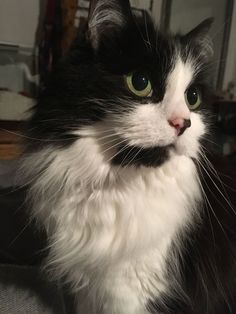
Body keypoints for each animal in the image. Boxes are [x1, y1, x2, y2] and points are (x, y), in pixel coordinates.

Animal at [19, 0, 236, 314]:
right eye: (140, 82)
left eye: (192, 98)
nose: (183, 123)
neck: (115, 185)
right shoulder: (90, 288)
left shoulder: (132, 291)